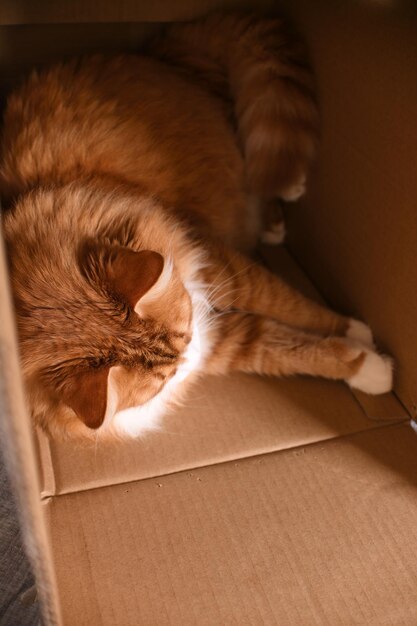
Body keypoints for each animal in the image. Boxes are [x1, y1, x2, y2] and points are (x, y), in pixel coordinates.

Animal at [0, 11, 392, 438]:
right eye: (165, 378)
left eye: (185, 334)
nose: (191, 357)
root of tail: (160, 52)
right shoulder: (228, 334)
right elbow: (290, 348)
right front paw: (371, 367)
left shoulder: (224, 267)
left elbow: (297, 306)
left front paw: (357, 332)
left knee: (265, 170)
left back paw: (284, 204)